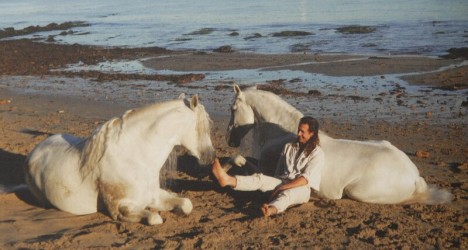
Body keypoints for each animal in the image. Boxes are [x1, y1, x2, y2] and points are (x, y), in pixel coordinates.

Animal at [24, 94, 215, 226]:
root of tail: (35, 151)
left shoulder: (153, 195)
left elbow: (186, 204)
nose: (211, 156)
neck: (136, 159)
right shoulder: (120, 207)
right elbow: (154, 218)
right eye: (201, 126)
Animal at [227, 85, 454, 204]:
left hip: (357, 191)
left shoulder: (270, 169)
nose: (230, 140)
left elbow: (238, 159)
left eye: (233, 109)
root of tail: (414, 176)